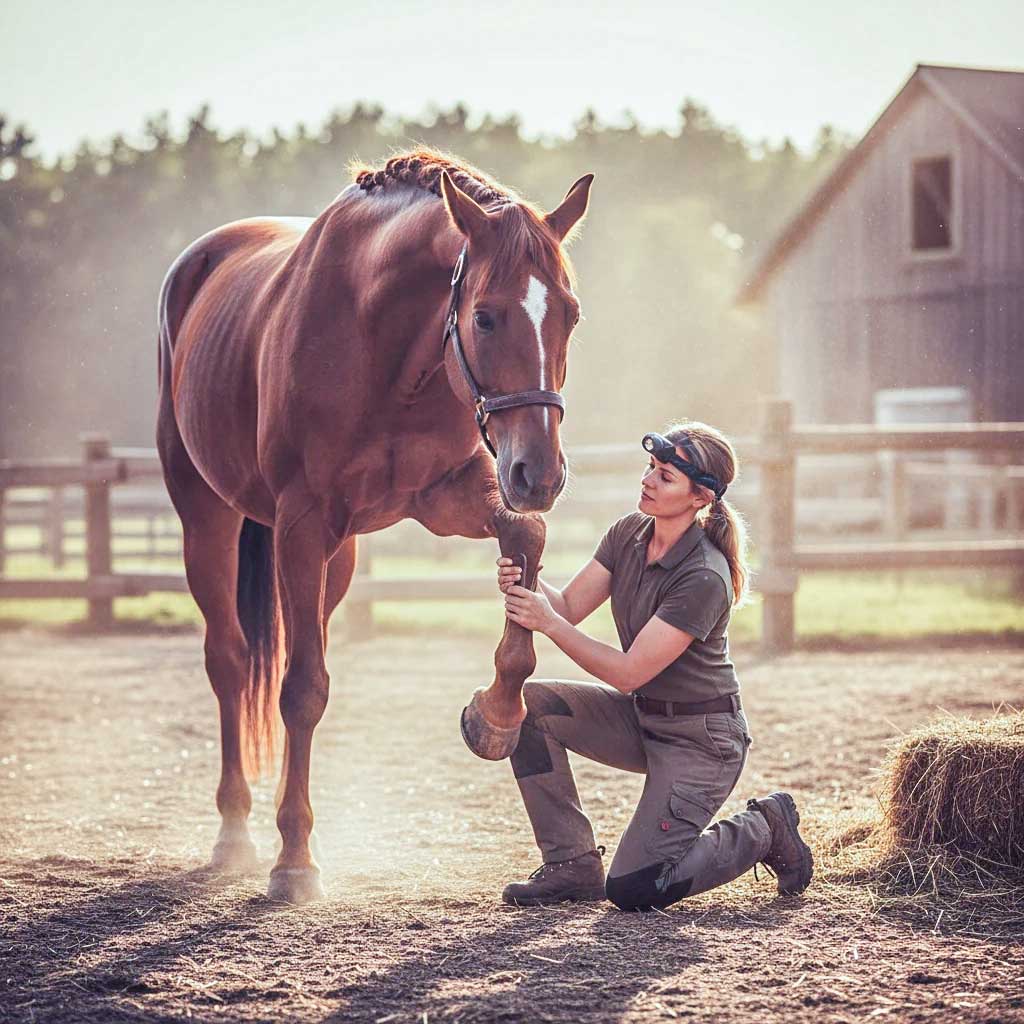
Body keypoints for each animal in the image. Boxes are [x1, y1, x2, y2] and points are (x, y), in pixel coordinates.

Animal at [156, 149, 593, 903]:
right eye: (485, 318)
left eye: (569, 314)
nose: (539, 474)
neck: (386, 347)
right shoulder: (301, 522)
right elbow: (301, 691)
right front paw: (294, 861)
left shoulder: (453, 495)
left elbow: (526, 545)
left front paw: (497, 714)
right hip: (207, 517)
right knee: (231, 663)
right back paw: (238, 831)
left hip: (341, 555)